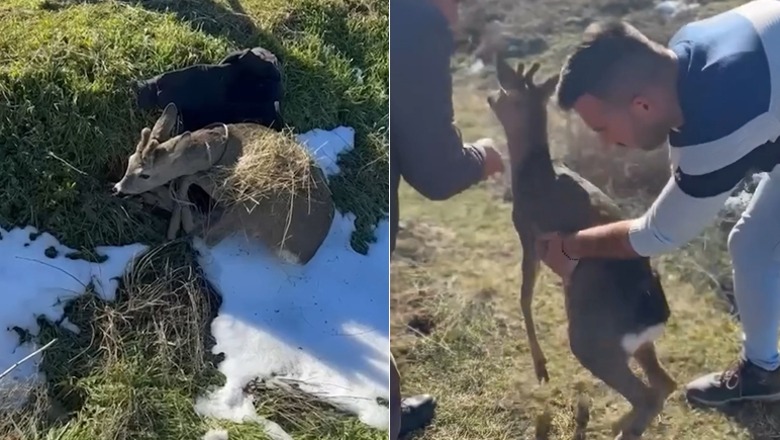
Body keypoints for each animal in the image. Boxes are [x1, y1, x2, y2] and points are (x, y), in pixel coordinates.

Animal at [113, 102, 336, 264]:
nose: (118, 189)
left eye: (145, 175)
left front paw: (173, 226)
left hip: (253, 206)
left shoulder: (222, 183)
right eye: (130, 160)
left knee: (204, 235)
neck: (217, 147)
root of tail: (305, 254)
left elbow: (185, 178)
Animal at [488, 55, 676, 440]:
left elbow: (524, 296)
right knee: (665, 385)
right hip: (634, 345)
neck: (533, 171)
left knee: (648, 394)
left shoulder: (528, 233)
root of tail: (653, 315)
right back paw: (611, 421)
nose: (490, 95)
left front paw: (541, 368)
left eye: (510, 90)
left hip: (591, 340)